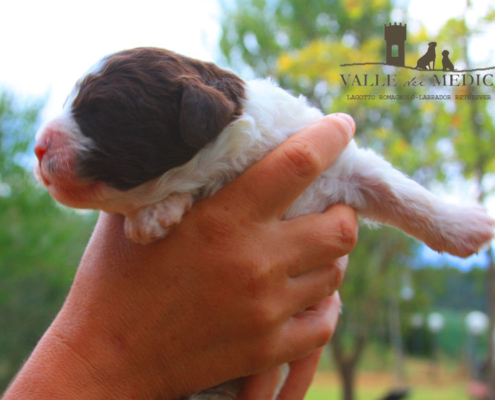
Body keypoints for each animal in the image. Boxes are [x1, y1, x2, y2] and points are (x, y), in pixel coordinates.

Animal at [35, 48, 495, 398]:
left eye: (102, 112)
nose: (38, 147)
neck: (233, 160)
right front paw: (154, 214)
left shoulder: (342, 169)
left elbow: (401, 191)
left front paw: (467, 225)